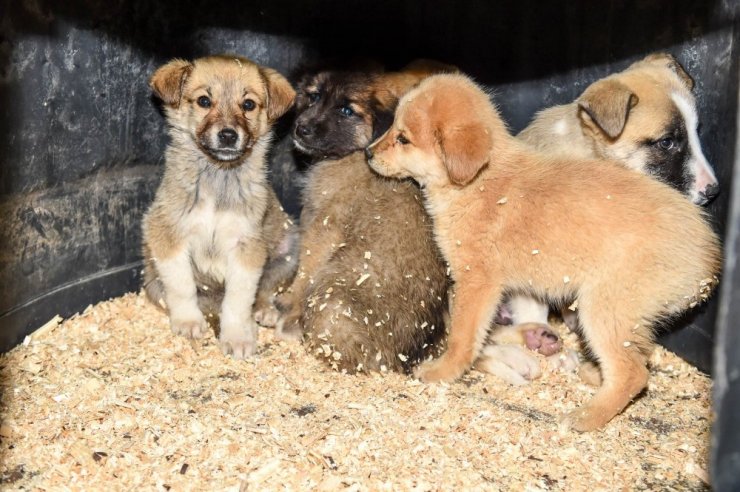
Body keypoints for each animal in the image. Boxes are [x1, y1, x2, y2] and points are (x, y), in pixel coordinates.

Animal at [142, 55, 298, 360]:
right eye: (204, 101)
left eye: (248, 104)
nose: (228, 135)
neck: (219, 178)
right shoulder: (168, 235)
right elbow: (181, 285)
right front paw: (188, 321)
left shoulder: (247, 247)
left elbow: (238, 300)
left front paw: (237, 337)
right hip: (152, 280)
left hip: (288, 251)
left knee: (265, 290)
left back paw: (264, 310)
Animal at [278, 61, 454, 370]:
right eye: (313, 96)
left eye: (347, 111)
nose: (301, 128)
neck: (356, 152)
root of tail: (398, 360)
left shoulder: (324, 226)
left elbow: (305, 269)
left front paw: (287, 303)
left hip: (331, 289)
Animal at [368, 73, 720, 430]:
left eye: (404, 139)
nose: (367, 153)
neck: (478, 183)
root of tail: (707, 255)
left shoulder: (476, 283)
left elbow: (462, 338)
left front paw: (442, 371)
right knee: (638, 359)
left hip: (604, 309)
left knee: (633, 374)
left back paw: (584, 416)